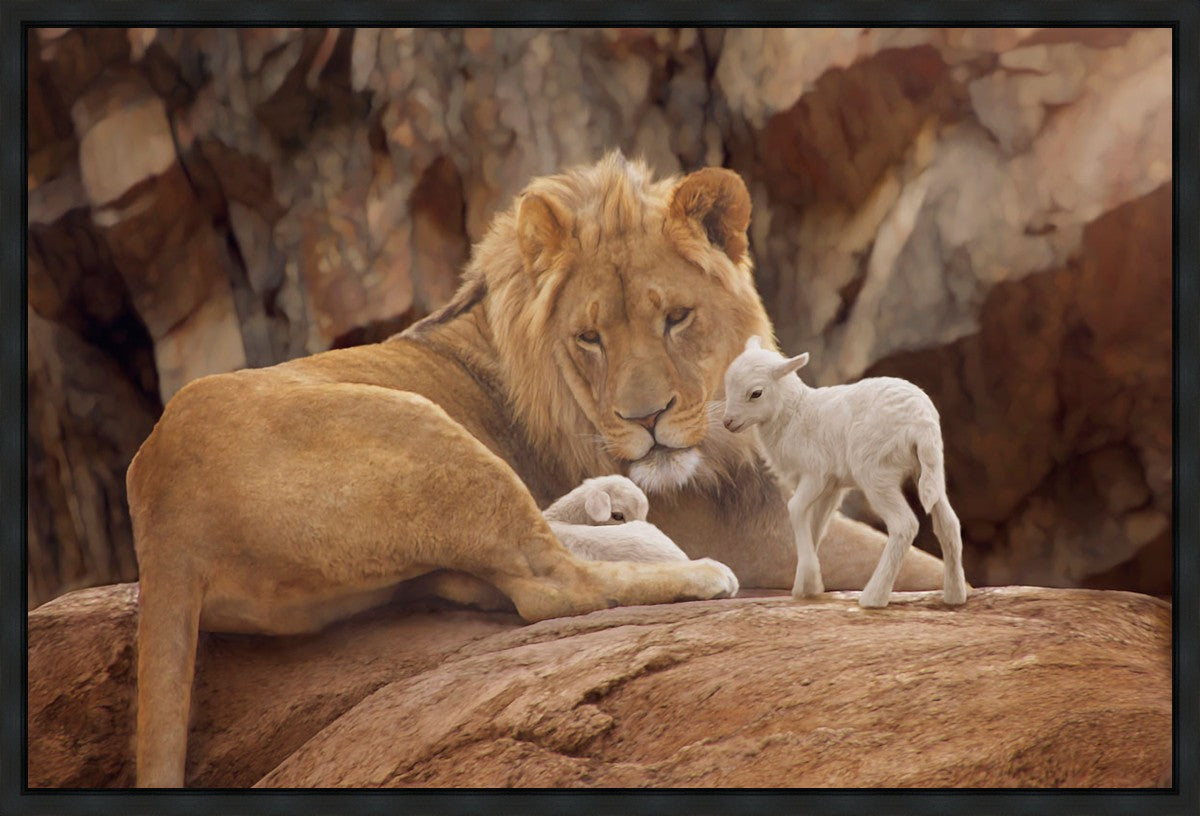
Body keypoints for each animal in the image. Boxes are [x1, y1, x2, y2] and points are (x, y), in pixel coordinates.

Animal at [721, 336, 968, 609]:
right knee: (949, 524)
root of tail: (922, 422)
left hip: (875, 471)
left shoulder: (816, 473)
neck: (794, 414)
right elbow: (816, 524)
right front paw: (807, 585)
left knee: (904, 525)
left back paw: (873, 597)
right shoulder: (832, 486)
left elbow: (795, 509)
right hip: (929, 469)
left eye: (756, 393)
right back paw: (955, 595)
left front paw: (809, 580)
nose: (727, 422)